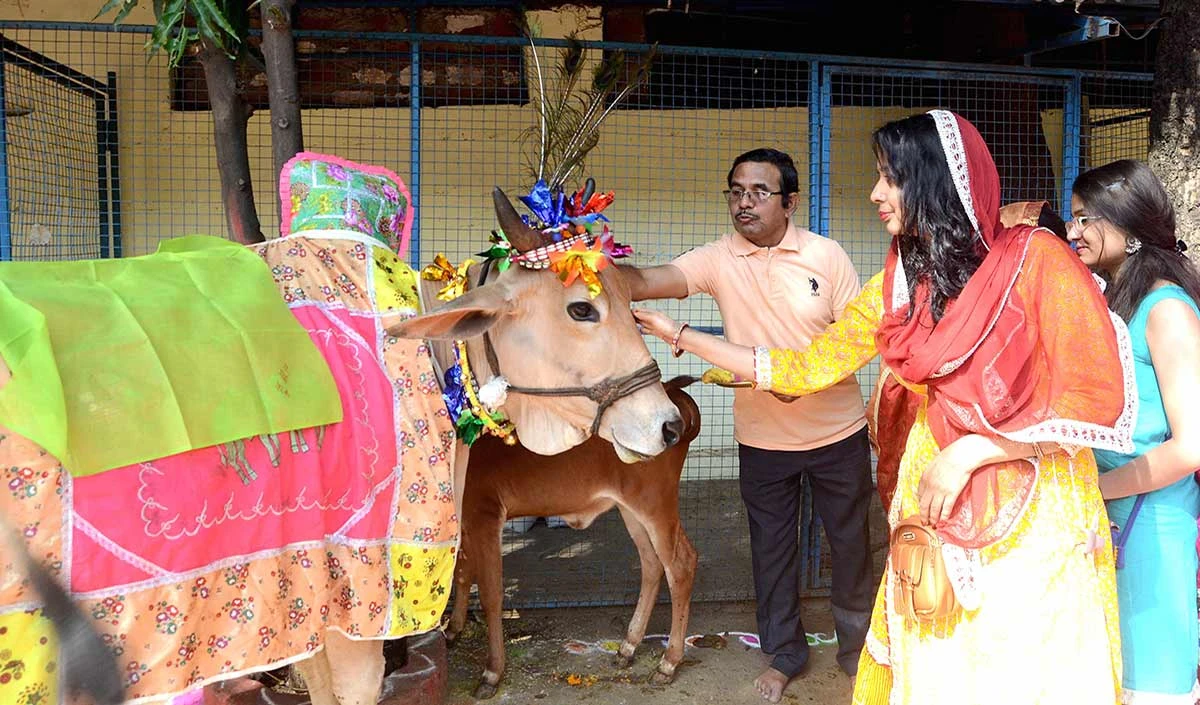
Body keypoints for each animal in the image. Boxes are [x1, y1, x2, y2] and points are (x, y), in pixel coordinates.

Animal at [446, 376, 700, 695]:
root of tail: (672, 390)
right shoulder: (466, 521)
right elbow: (462, 573)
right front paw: (453, 629)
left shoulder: (485, 515)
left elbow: (491, 594)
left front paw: (492, 671)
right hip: (630, 508)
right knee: (651, 564)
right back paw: (628, 646)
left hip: (655, 505)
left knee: (680, 565)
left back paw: (668, 662)